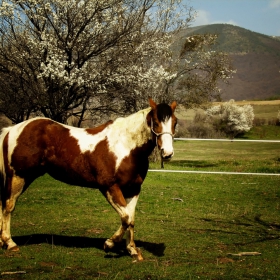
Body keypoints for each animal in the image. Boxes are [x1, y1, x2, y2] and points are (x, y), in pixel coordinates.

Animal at [0, 98, 176, 260]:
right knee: (8, 206)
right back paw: (10, 243)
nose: (167, 153)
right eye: (156, 122)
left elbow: (131, 219)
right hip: (18, 177)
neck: (126, 146)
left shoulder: (133, 189)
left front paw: (132, 250)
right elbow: (125, 218)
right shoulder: (109, 187)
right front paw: (109, 244)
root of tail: (12, 129)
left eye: (174, 122)